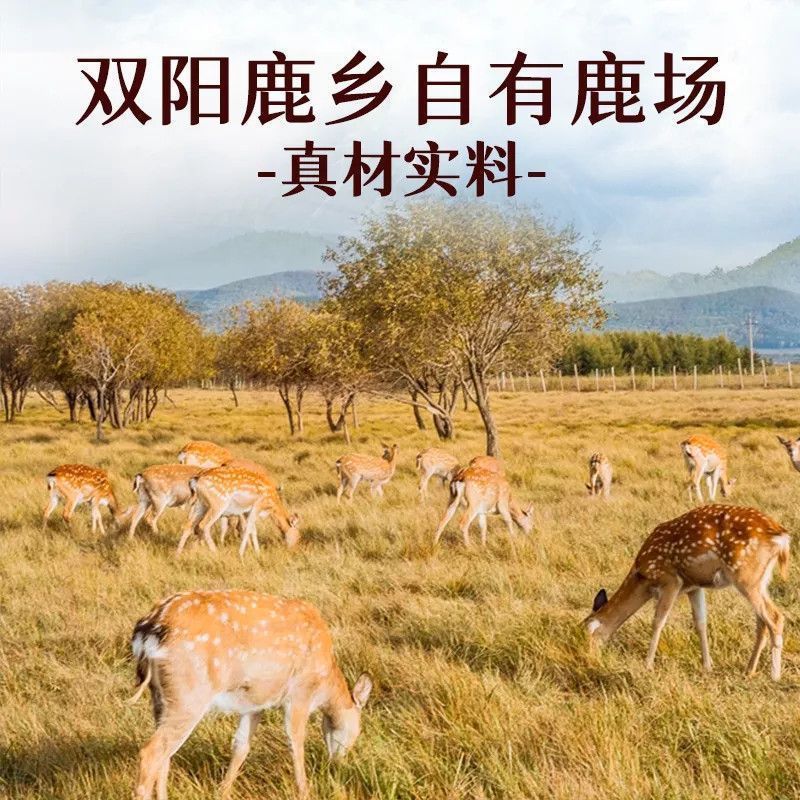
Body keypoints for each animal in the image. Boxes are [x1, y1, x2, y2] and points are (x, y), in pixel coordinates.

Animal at [129, 589, 373, 800]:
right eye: (357, 730)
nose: (337, 764)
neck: (325, 682)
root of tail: (150, 629)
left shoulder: (255, 701)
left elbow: (241, 745)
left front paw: (223, 791)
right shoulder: (299, 692)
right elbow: (296, 741)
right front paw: (304, 791)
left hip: (161, 697)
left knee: (165, 754)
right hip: (189, 693)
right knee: (151, 753)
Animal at [584, 504, 790, 680]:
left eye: (587, 635)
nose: (589, 661)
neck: (642, 577)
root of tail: (781, 537)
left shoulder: (671, 581)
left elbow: (658, 621)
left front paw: (647, 666)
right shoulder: (694, 587)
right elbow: (700, 623)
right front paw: (707, 666)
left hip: (745, 575)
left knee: (775, 617)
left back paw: (774, 676)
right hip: (761, 579)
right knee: (762, 621)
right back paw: (749, 670)